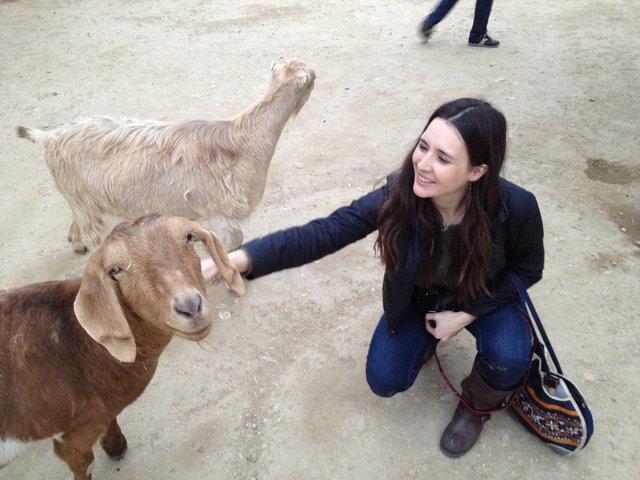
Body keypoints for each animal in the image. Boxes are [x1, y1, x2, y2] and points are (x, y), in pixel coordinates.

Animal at [18, 58, 318, 253]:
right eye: (311, 79)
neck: (240, 141)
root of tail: (48, 137)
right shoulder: (217, 212)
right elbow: (232, 241)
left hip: (80, 198)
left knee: (77, 223)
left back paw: (76, 244)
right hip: (82, 198)